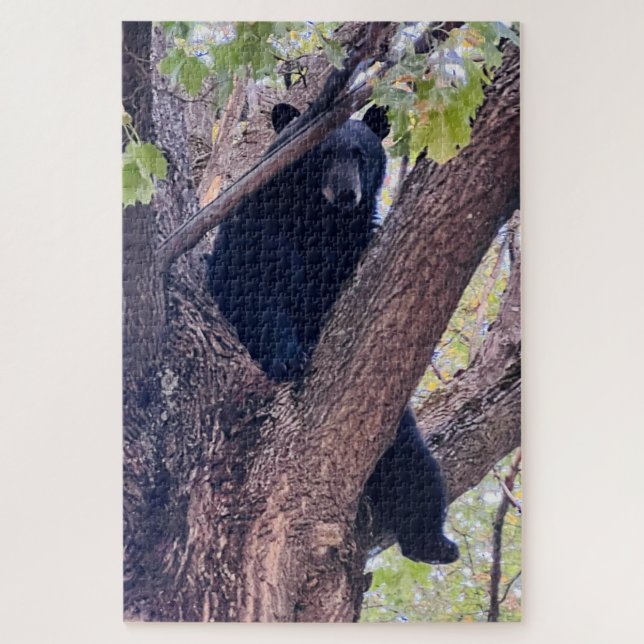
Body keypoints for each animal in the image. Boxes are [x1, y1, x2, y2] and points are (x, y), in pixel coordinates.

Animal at [208, 102, 459, 565]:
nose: (346, 194)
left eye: (360, 154)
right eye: (323, 154)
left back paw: (432, 542)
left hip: (395, 428)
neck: (319, 221)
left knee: (416, 468)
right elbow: (258, 294)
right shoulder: (260, 228)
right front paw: (289, 357)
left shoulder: (354, 246)